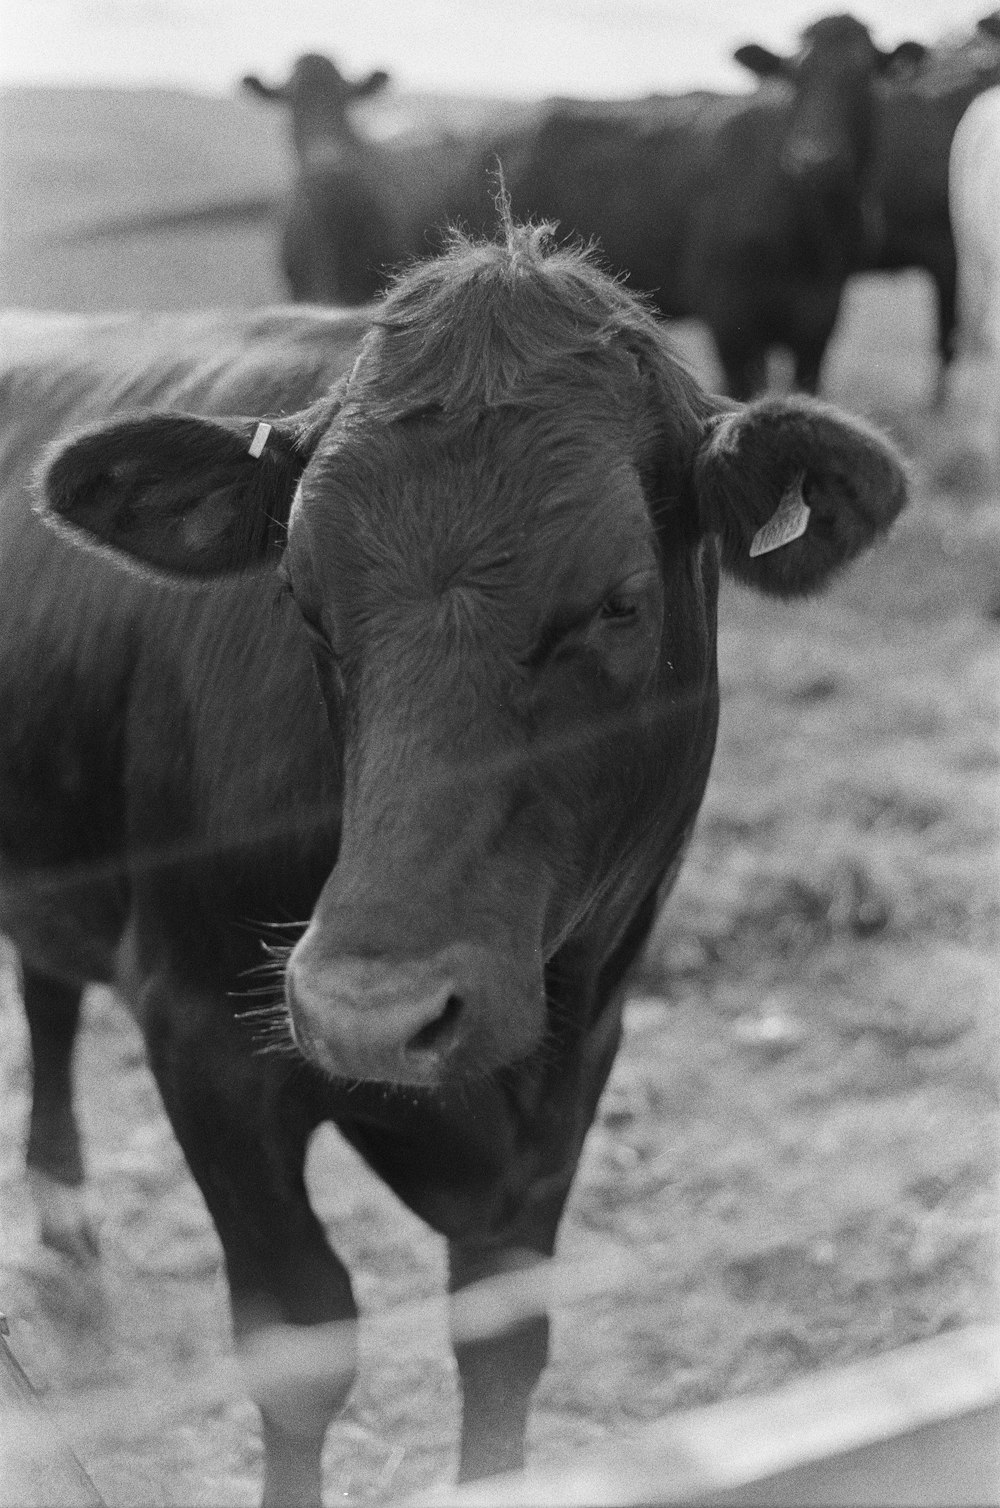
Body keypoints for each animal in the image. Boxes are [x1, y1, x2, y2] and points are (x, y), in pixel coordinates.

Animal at [0, 223, 904, 1508]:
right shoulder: (200, 1033)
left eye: (618, 601)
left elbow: (503, 1342)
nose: (369, 1012)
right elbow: (300, 1339)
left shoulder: (577, 1066)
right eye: (296, 593)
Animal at [464, 11, 929, 398]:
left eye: (863, 77)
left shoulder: (821, 320)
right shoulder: (730, 318)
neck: (809, 228)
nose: (815, 159)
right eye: (794, 77)